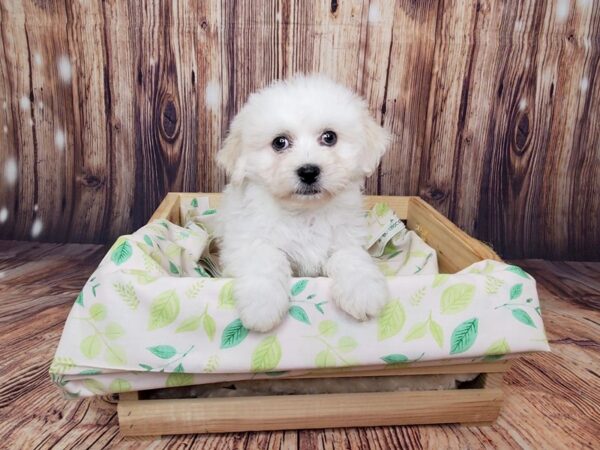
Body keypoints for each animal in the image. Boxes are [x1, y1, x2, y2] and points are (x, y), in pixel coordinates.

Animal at [218, 74, 392, 332]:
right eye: (279, 142)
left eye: (329, 137)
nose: (309, 171)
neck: (305, 213)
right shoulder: (244, 243)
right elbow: (266, 258)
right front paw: (262, 305)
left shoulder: (346, 238)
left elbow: (350, 257)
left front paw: (363, 290)